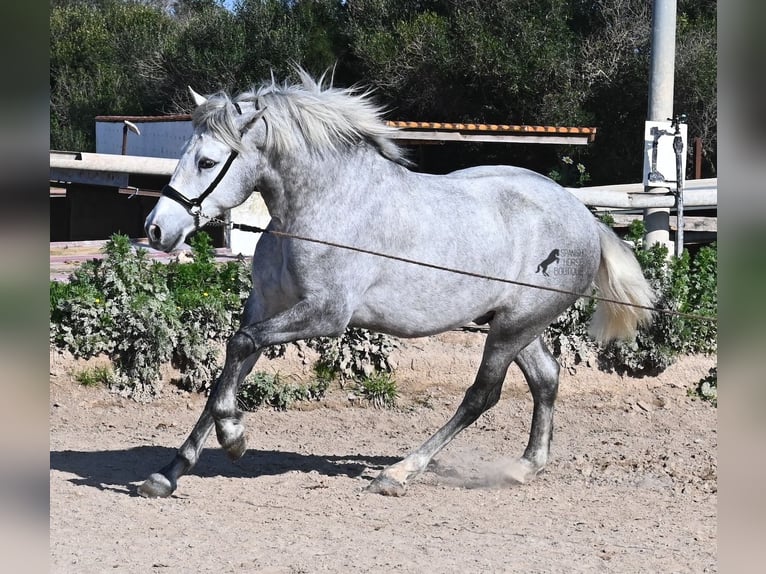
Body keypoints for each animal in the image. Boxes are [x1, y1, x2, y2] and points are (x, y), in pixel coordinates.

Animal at [140, 72, 656, 500]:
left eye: (208, 161)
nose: (157, 230)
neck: (322, 208)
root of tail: (585, 217)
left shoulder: (326, 314)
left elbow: (240, 347)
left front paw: (234, 436)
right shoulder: (265, 306)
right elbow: (231, 364)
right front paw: (169, 473)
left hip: (513, 327)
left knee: (482, 394)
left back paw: (400, 472)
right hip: (515, 325)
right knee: (546, 378)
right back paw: (524, 467)